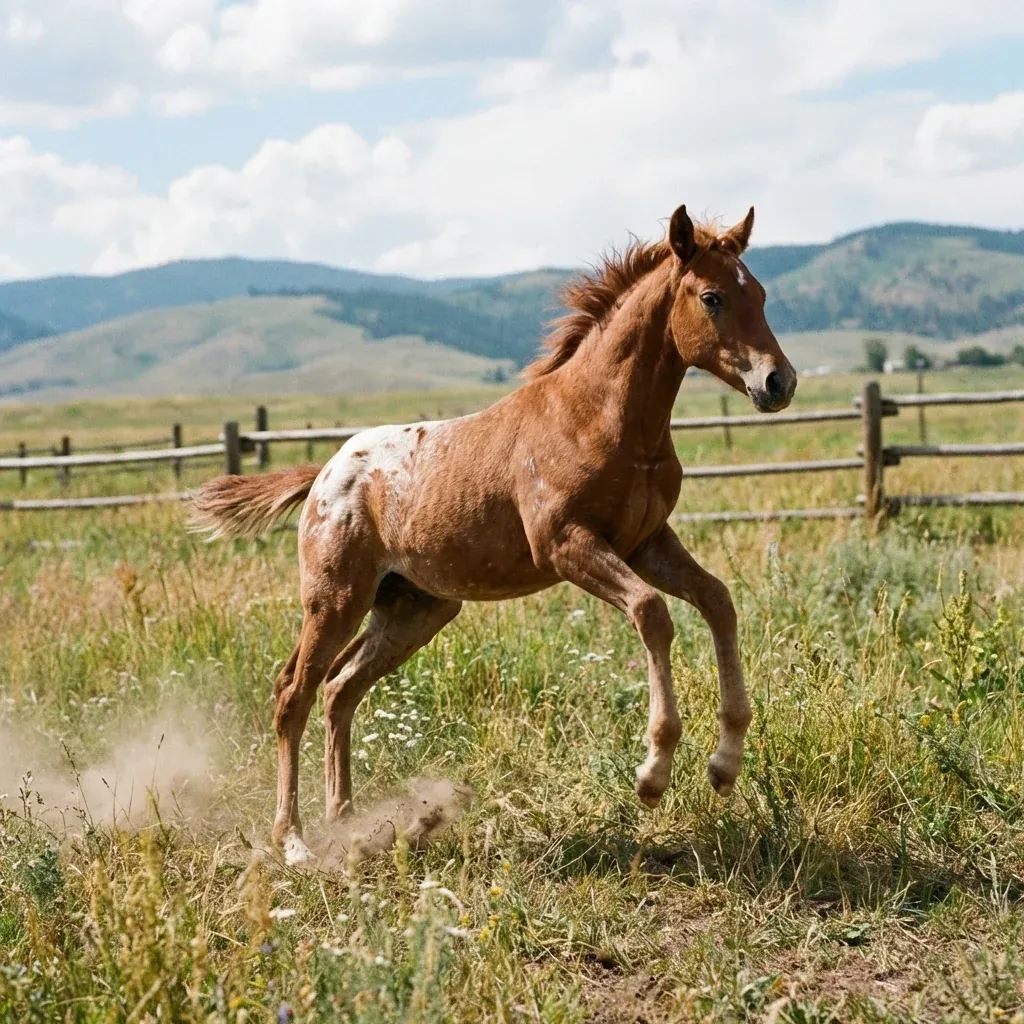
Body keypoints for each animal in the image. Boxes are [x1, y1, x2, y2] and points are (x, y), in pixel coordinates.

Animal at [190, 203, 797, 865]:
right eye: (712, 298)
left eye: (762, 294)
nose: (779, 382)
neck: (599, 417)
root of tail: (324, 473)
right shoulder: (566, 545)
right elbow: (651, 612)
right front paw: (653, 773)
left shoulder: (647, 542)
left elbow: (717, 599)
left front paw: (724, 764)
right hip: (335, 601)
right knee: (292, 693)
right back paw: (296, 842)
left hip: (415, 609)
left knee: (340, 690)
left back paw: (347, 826)